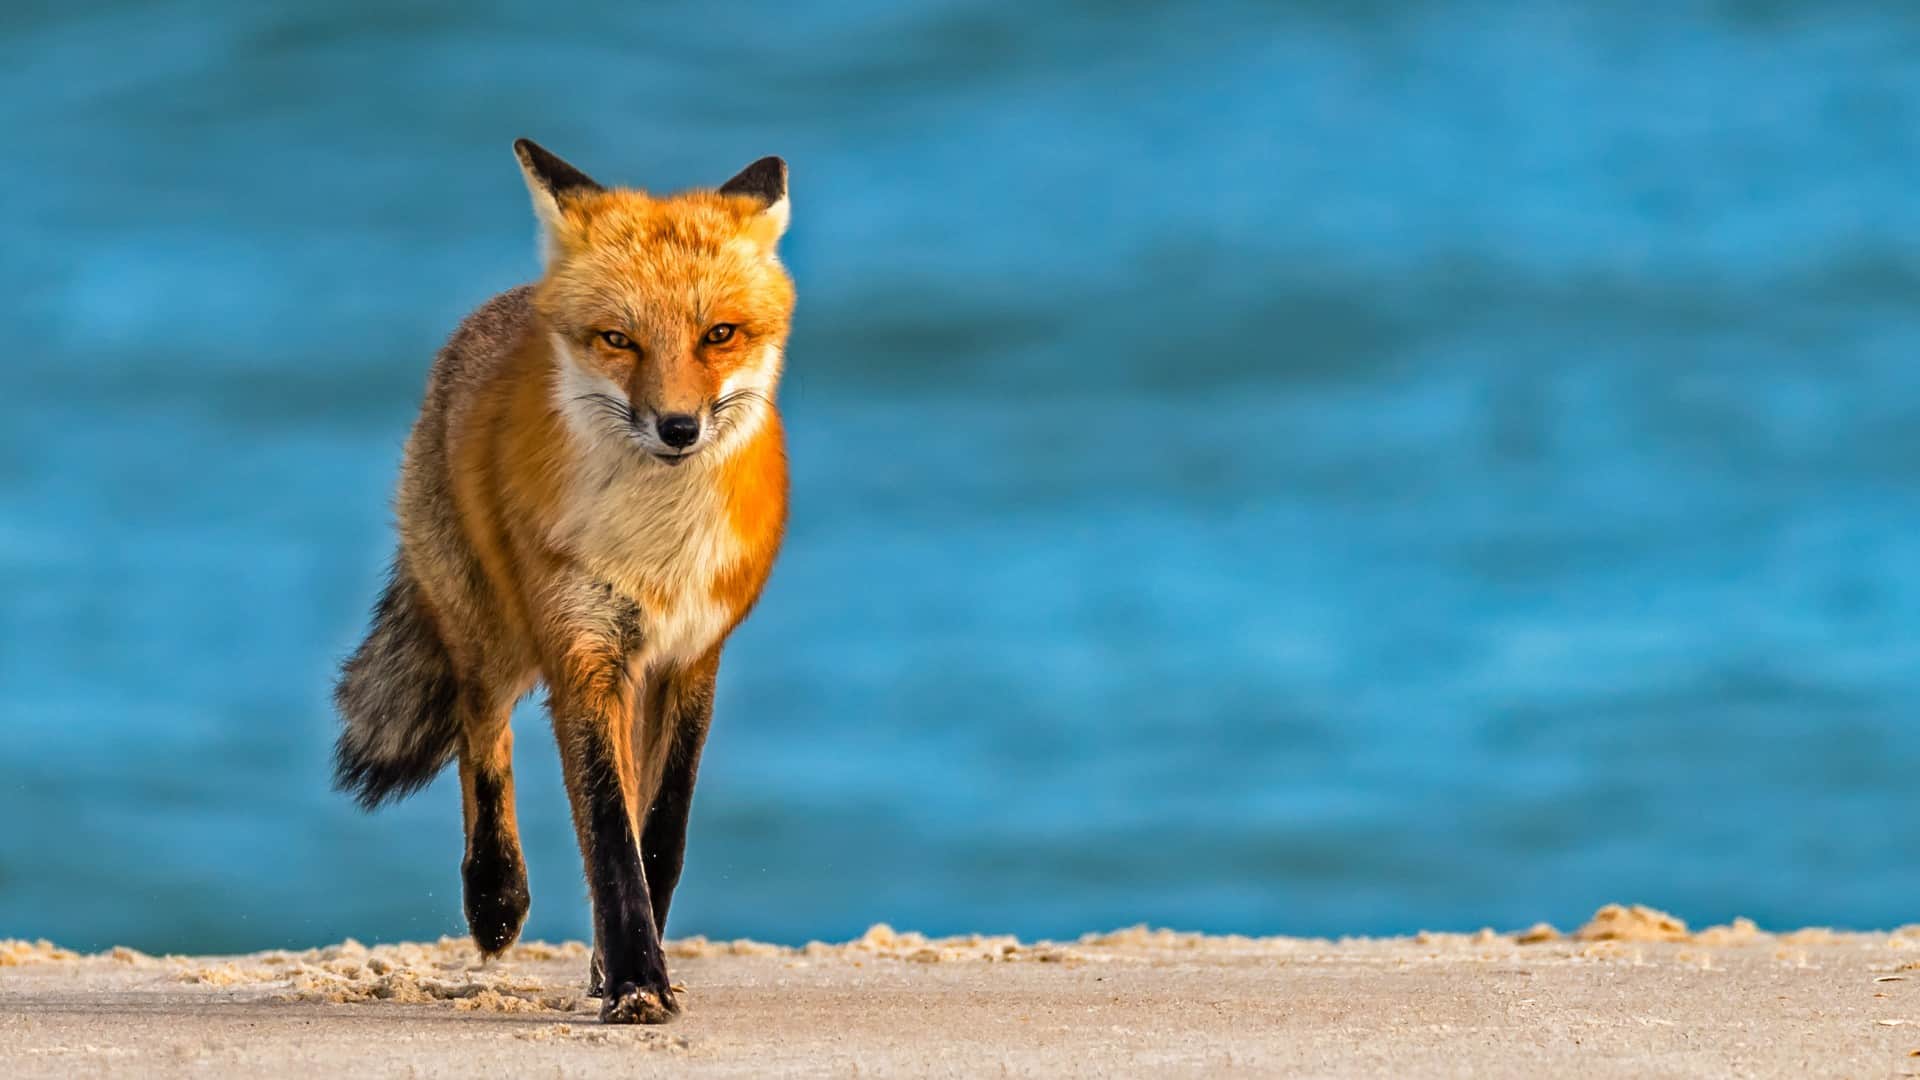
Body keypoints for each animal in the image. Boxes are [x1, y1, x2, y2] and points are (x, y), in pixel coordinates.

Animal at [332, 139, 794, 1024]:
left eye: (719, 334)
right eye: (619, 339)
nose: (678, 428)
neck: (657, 550)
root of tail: (503, 306)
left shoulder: (693, 658)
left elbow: (659, 835)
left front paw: (623, 969)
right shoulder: (583, 653)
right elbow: (610, 839)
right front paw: (637, 981)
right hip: (492, 630)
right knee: (481, 730)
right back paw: (495, 896)